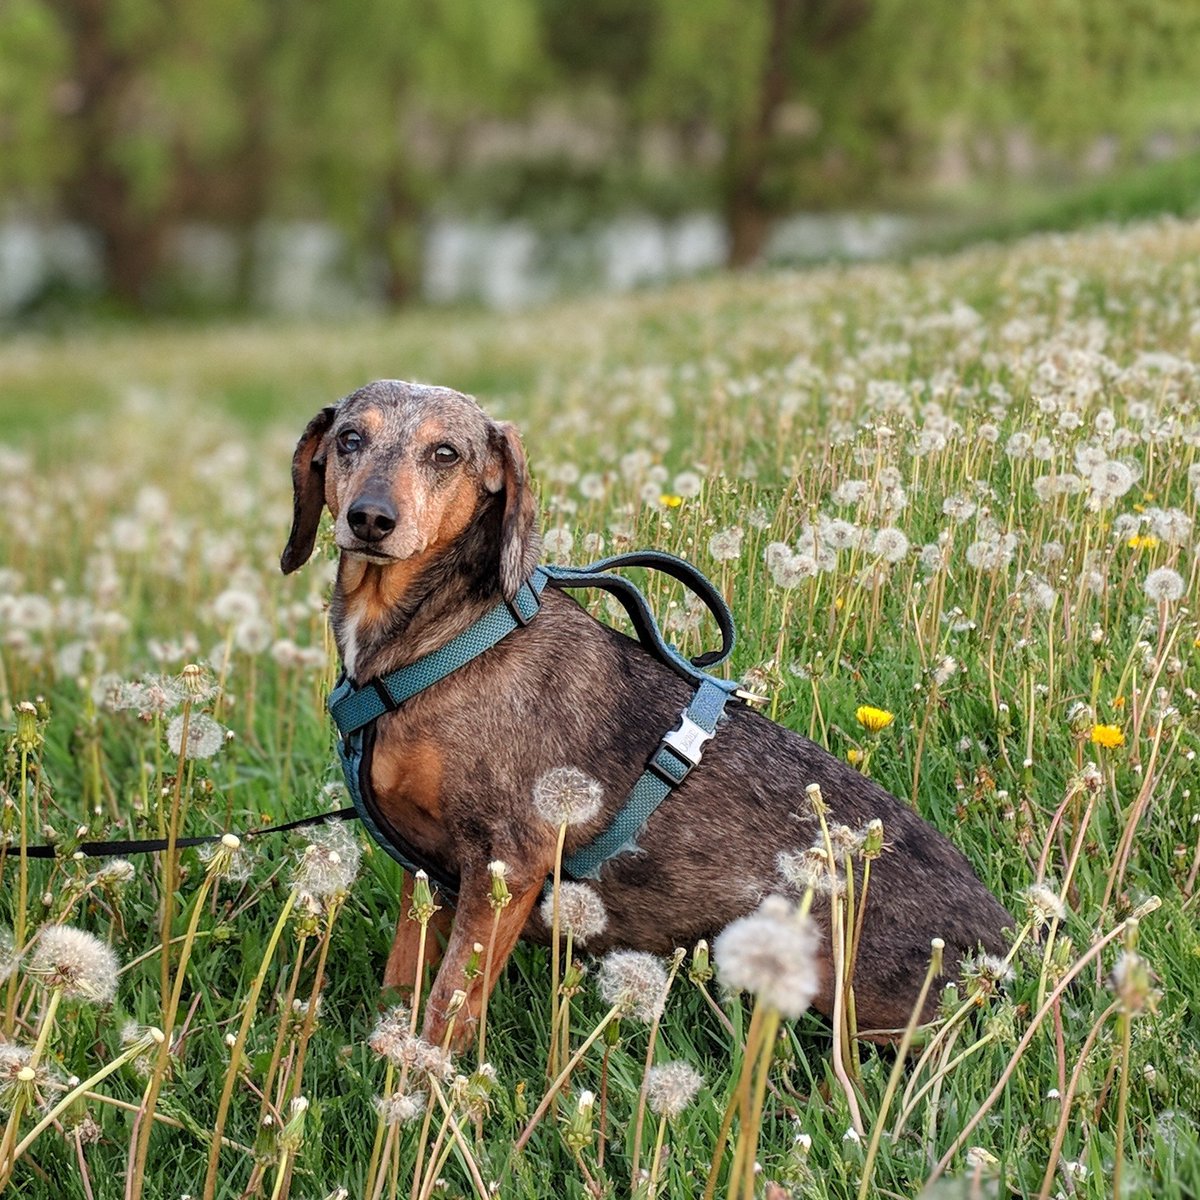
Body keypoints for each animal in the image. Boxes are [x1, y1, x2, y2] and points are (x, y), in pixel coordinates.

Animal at [280, 381, 1012, 1051]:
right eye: (349, 439)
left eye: (445, 453)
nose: (371, 519)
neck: (435, 641)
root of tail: (1007, 943)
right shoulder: (428, 877)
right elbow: (403, 984)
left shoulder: (503, 864)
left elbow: (447, 1007)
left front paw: (421, 1089)